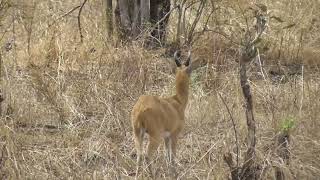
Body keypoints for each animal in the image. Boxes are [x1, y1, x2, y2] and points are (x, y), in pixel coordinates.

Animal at [131, 50, 191, 179]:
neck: (177, 101)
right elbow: (172, 155)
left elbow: (166, 155)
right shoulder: (174, 134)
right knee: (147, 155)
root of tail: (140, 109)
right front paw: (174, 173)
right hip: (155, 136)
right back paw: (152, 175)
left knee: (139, 155)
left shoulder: (166, 137)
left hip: (137, 133)